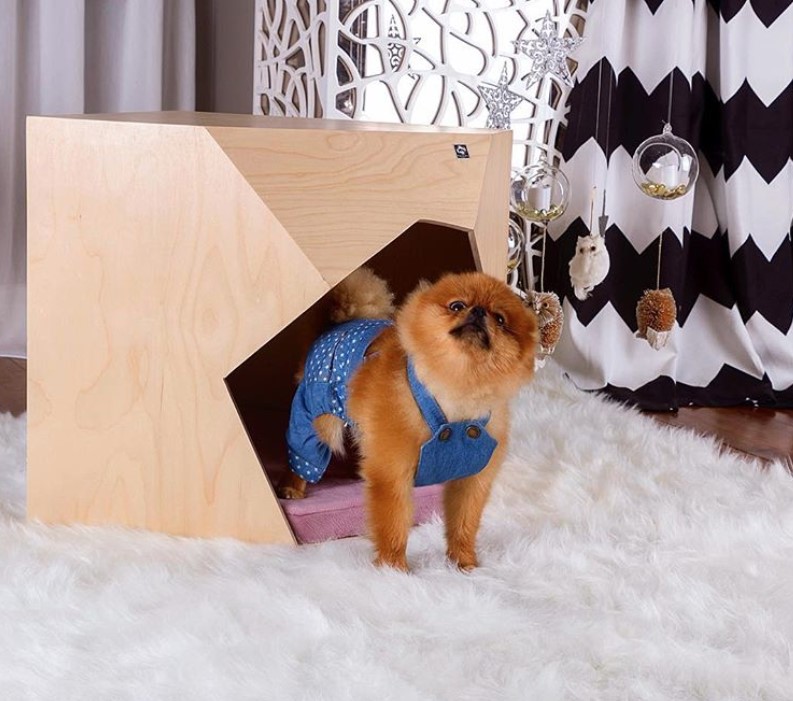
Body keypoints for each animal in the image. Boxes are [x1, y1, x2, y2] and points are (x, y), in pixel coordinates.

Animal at [278, 268, 540, 568]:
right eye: (457, 306)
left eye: (500, 319)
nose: (478, 311)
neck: (457, 389)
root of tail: (343, 322)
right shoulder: (393, 474)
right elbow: (393, 524)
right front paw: (393, 568)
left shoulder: (472, 479)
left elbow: (464, 523)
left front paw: (463, 563)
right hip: (316, 416)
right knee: (304, 452)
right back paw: (292, 487)